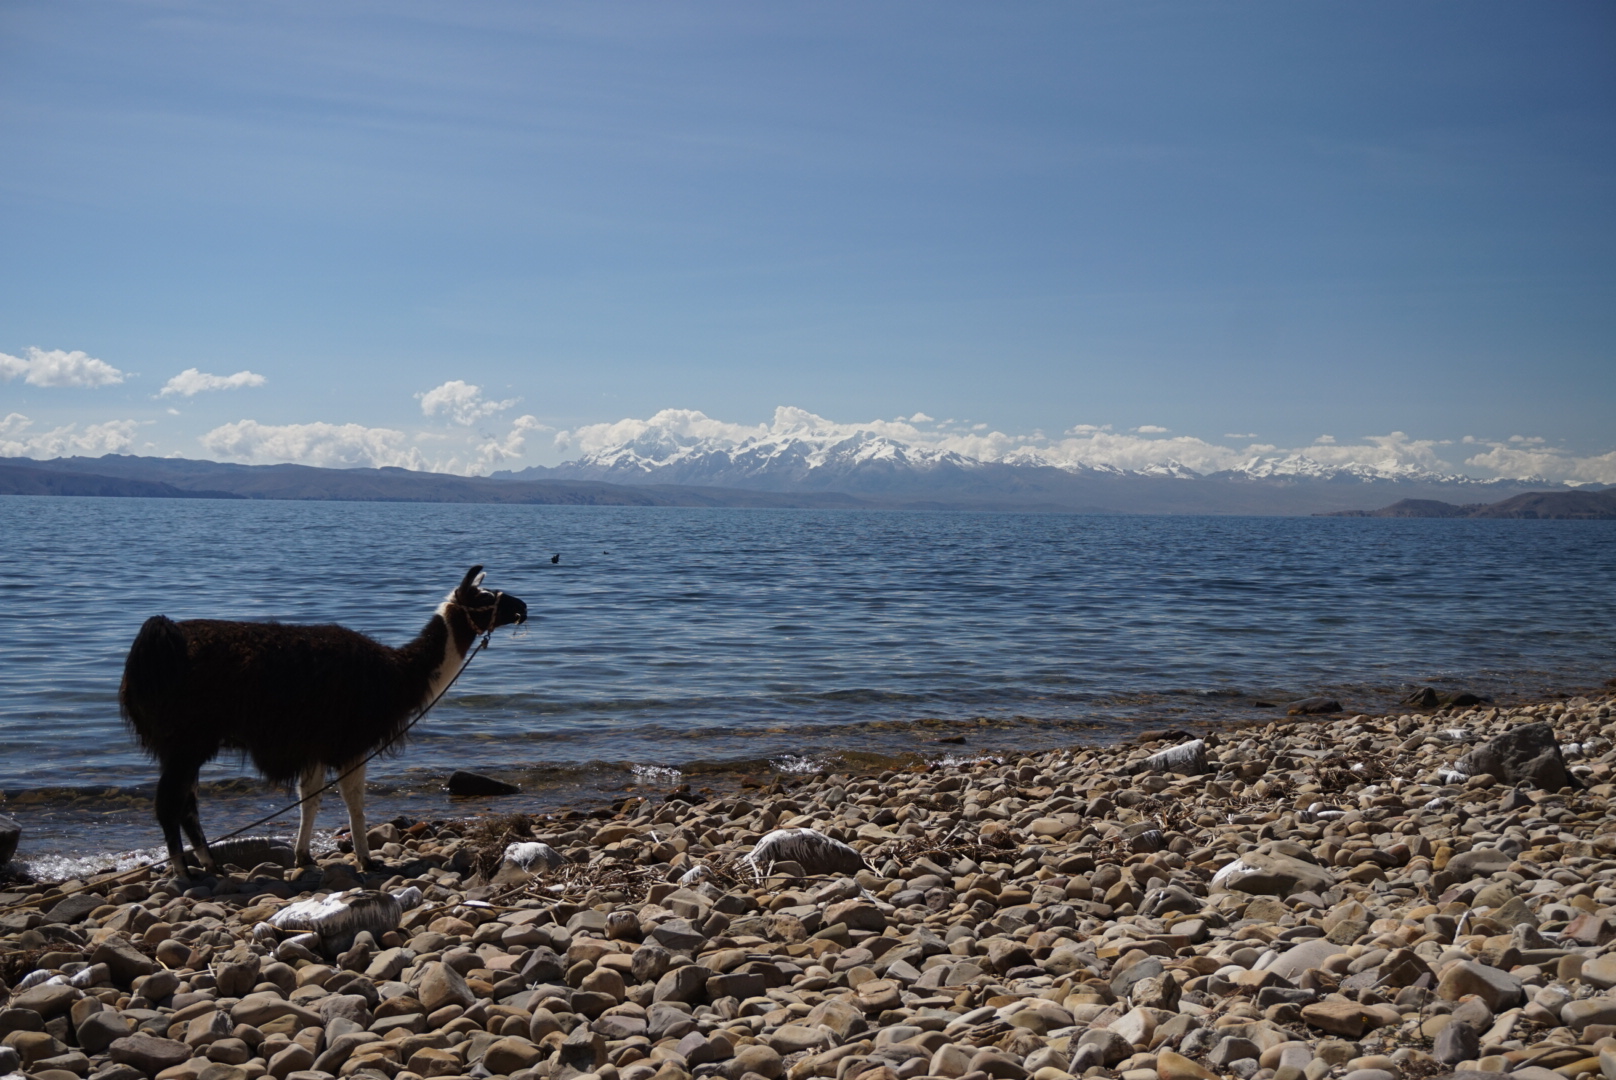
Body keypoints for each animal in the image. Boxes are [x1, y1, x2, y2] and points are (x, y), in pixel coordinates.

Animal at [120, 565, 527, 878]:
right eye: (485, 598)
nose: (523, 605)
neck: (399, 673)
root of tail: (154, 644)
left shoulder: (314, 745)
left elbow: (310, 800)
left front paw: (304, 857)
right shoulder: (349, 742)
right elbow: (353, 801)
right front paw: (366, 860)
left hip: (187, 744)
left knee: (186, 805)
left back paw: (209, 865)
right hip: (185, 740)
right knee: (170, 804)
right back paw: (184, 871)